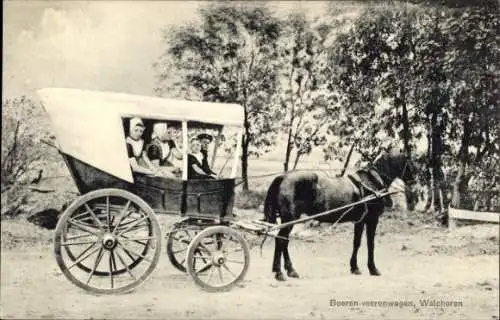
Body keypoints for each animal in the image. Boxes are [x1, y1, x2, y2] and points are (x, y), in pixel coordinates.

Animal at [264, 148, 416, 280]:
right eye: (410, 162)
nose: (414, 181)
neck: (372, 182)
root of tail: (283, 177)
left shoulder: (360, 221)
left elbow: (357, 243)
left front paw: (355, 268)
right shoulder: (372, 220)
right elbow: (370, 244)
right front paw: (373, 269)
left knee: (284, 241)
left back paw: (289, 270)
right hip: (289, 219)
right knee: (281, 240)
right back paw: (280, 273)